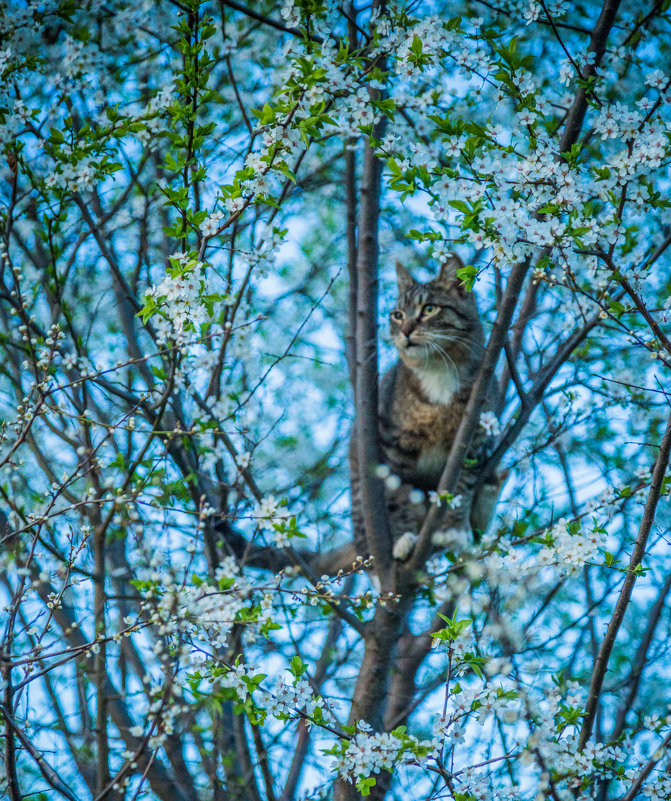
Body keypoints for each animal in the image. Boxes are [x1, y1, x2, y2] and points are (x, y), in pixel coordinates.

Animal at [352, 253, 498, 560]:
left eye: (429, 309)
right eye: (397, 314)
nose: (406, 330)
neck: (438, 369)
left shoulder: (476, 442)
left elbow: (460, 490)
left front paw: (454, 529)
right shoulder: (393, 446)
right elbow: (397, 497)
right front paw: (401, 538)